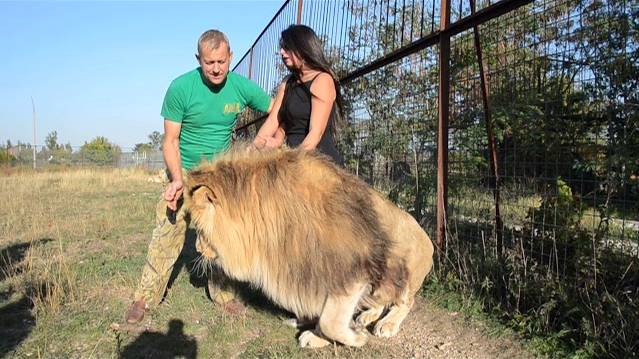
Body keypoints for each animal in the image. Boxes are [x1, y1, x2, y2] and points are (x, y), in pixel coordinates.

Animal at [185, 144, 436, 348]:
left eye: (200, 230)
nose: (197, 249)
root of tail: (430, 241)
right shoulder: (309, 271)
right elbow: (324, 315)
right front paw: (317, 330)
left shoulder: (350, 269)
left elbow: (330, 322)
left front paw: (352, 337)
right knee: (379, 301)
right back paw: (364, 317)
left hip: (406, 267)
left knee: (405, 302)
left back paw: (386, 324)